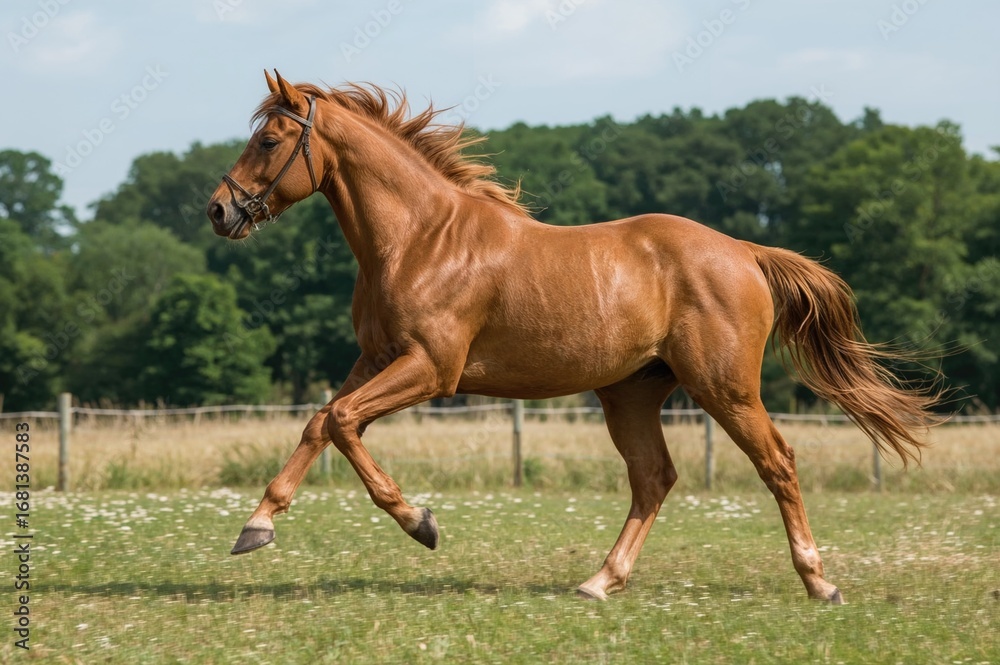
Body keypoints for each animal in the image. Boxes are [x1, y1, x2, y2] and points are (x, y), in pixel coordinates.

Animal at [207, 71, 942, 603]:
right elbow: (321, 421)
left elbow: (341, 421)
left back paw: (819, 581)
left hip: (723, 389)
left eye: (269, 141)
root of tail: (743, 252)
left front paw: (421, 524)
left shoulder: (431, 368)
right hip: (631, 394)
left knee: (777, 463)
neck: (420, 239)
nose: (218, 210)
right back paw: (599, 581)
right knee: (654, 478)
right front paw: (256, 526)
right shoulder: (377, 358)